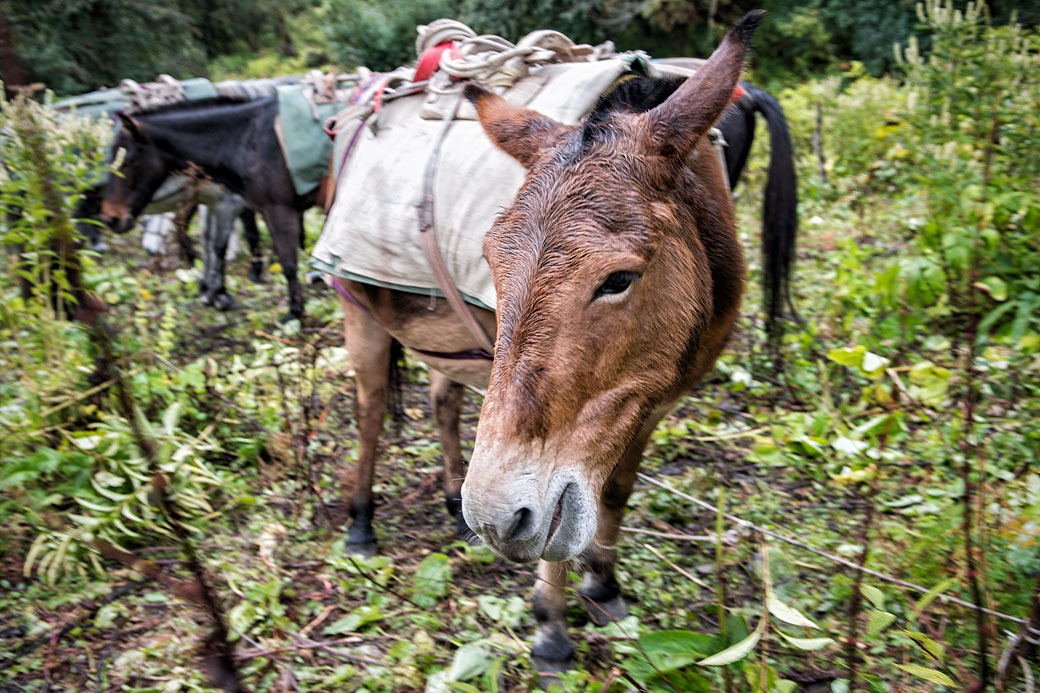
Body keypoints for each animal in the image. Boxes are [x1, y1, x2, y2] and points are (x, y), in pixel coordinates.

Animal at [328, 10, 777, 670]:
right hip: (357, 309)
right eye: (490, 259)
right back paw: (363, 524)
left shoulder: (644, 401)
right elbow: (556, 519)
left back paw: (453, 506)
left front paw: (604, 586)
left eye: (618, 279)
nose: (492, 519)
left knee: (442, 400)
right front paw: (551, 628)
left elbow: (612, 490)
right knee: (370, 410)